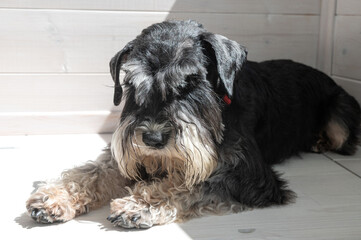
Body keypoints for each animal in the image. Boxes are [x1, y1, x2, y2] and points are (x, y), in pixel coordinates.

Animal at [26, 19, 360, 228]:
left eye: (191, 83)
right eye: (131, 85)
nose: (153, 139)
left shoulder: (250, 176)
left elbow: (195, 182)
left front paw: (139, 205)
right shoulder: (128, 159)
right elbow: (93, 171)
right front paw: (53, 197)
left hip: (341, 118)